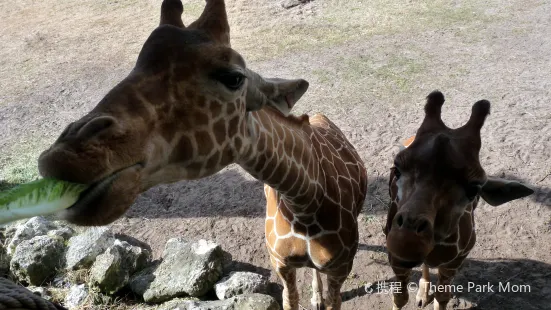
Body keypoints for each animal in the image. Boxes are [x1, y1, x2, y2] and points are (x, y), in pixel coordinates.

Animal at [36, 1, 368, 308]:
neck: (303, 203)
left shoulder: (340, 269)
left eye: (233, 77)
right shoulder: (281, 264)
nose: (65, 156)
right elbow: (291, 298)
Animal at [384, 91, 536, 308]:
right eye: (396, 170)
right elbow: (400, 297)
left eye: (474, 189)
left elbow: (442, 297)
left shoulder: (455, 262)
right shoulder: (395, 260)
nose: (406, 242)